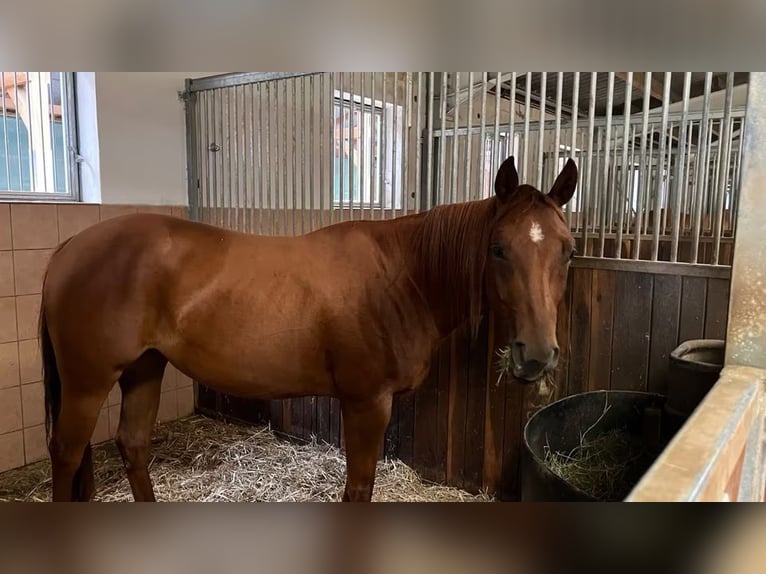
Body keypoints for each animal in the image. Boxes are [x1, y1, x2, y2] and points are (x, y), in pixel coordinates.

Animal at [39, 155, 578, 502]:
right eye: (498, 249)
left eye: (568, 250)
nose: (536, 355)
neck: (402, 276)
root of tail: (69, 247)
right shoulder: (366, 404)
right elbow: (358, 488)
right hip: (88, 383)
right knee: (65, 453)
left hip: (144, 369)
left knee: (132, 446)